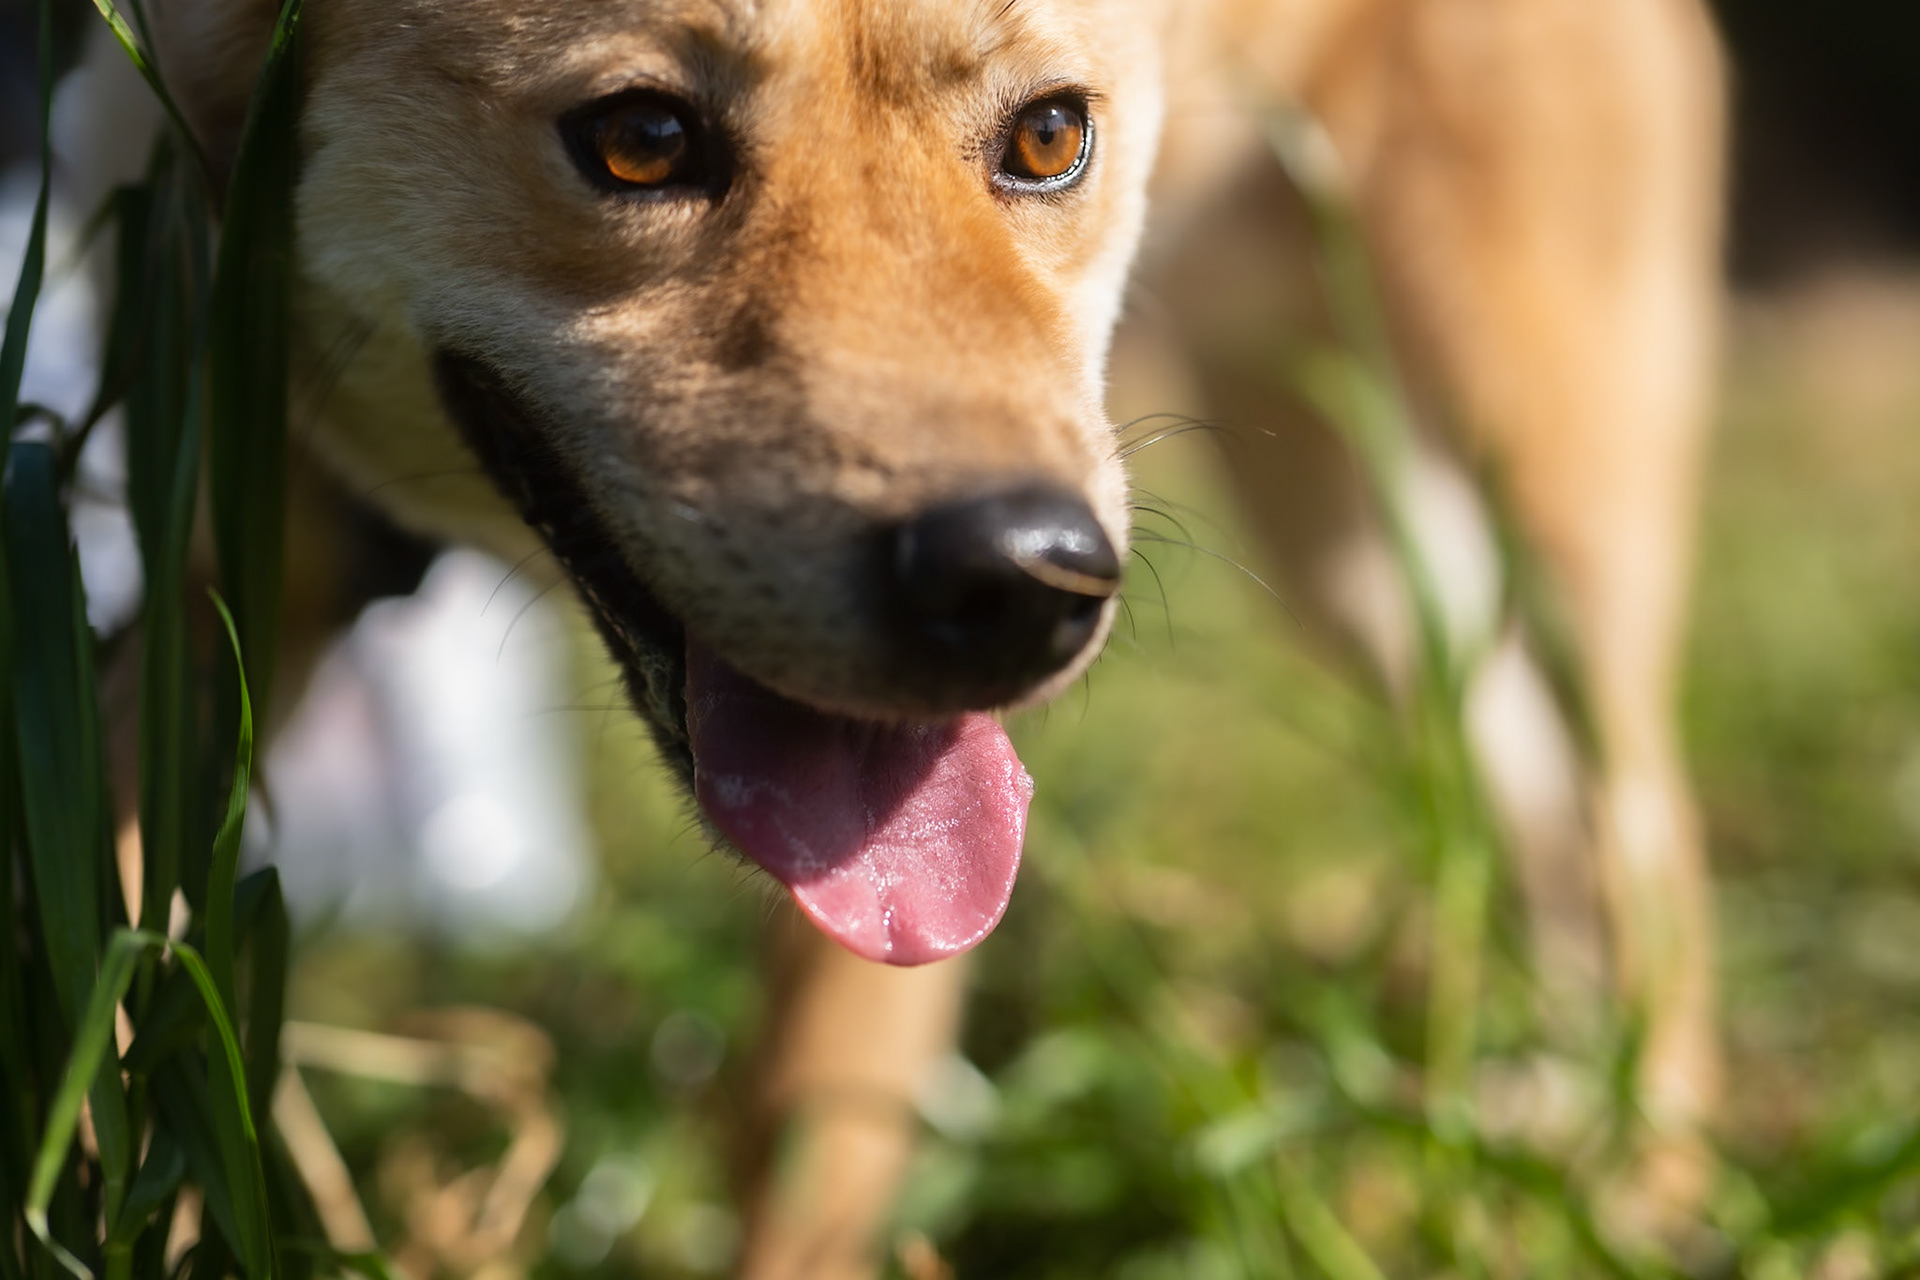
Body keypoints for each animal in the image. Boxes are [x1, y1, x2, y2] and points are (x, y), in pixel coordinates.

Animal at [119, 0, 1727, 1273]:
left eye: (1050, 134)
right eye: (639, 139)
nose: (1022, 582)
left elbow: (809, 1135)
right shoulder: (205, 598)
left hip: (1537, 451)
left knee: (1644, 831)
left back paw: (1645, 1180)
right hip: (1352, 537)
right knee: (1529, 786)